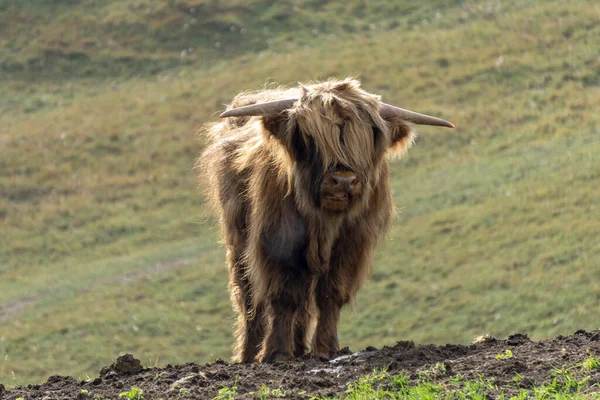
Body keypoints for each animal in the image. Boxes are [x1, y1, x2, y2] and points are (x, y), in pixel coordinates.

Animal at [199, 78, 452, 362]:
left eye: (368, 137)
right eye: (309, 137)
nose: (343, 181)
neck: (325, 221)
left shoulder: (352, 245)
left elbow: (331, 294)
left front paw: (324, 349)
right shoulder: (279, 241)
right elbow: (284, 295)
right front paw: (277, 353)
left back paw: (299, 349)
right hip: (238, 242)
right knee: (250, 299)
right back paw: (248, 355)